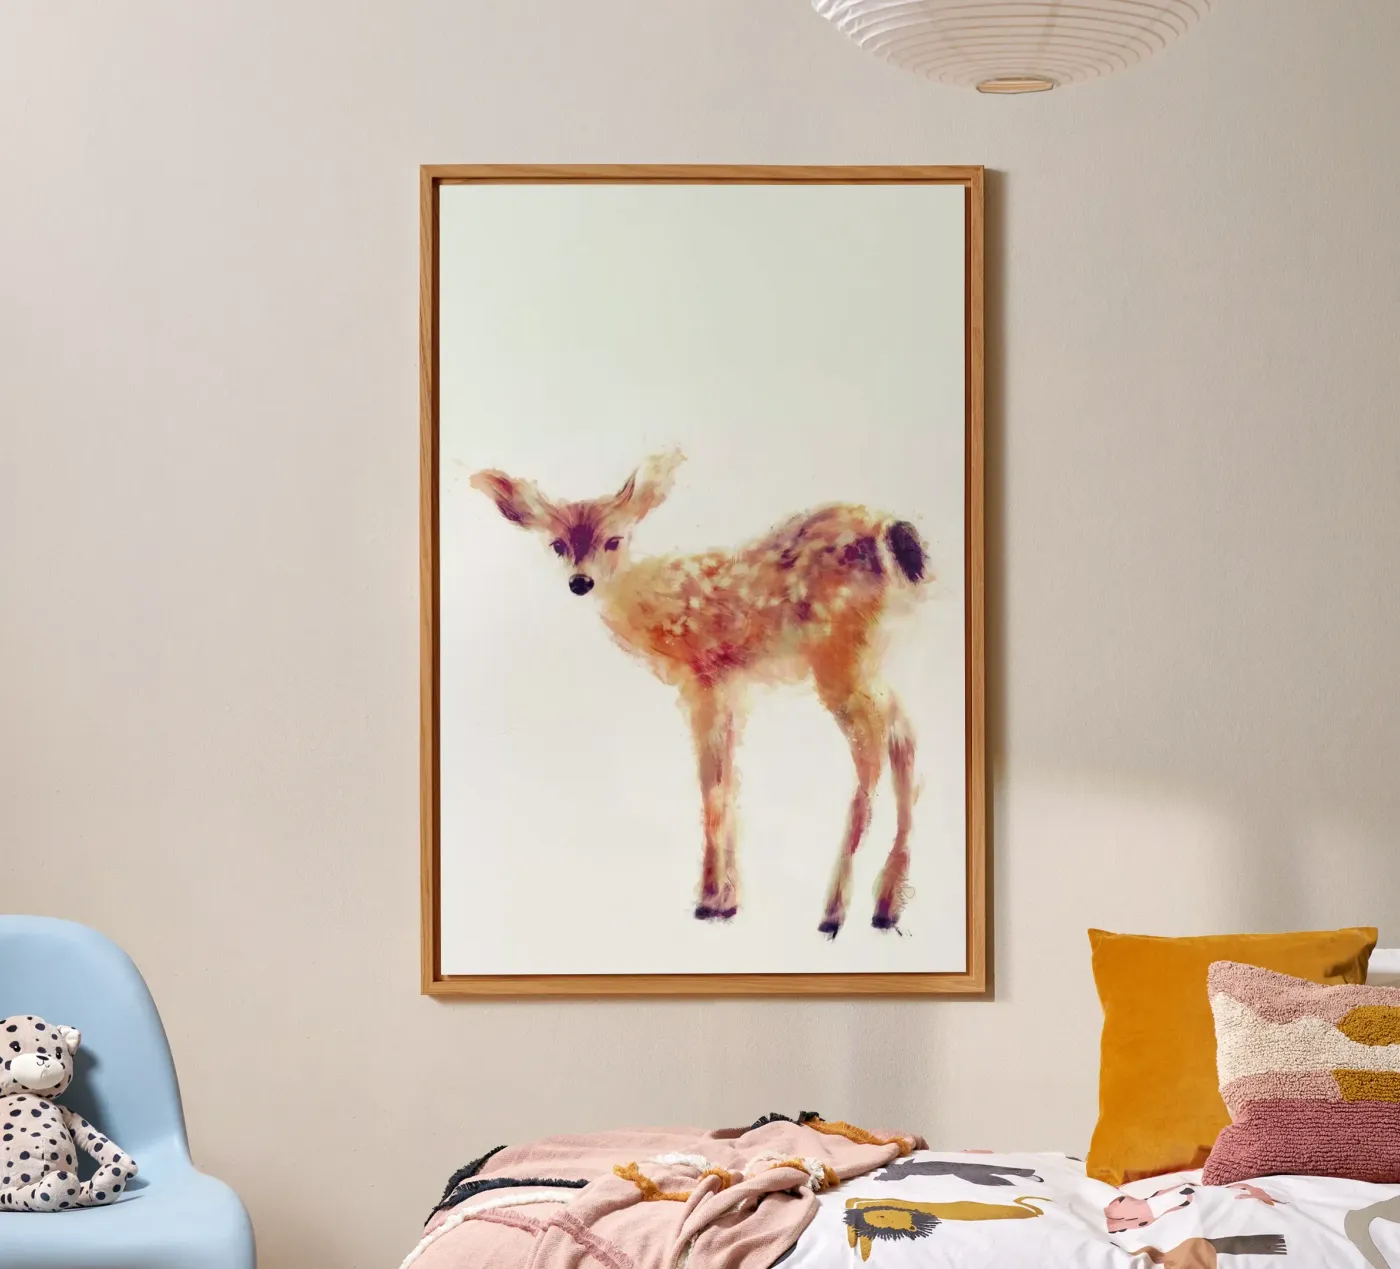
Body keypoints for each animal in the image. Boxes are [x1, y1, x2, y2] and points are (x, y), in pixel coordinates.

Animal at [469, 450, 929, 938]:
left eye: (613, 540)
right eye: (557, 544)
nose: (580, 582)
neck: (659, 609)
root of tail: (895, 533)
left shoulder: (703, 681)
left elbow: (711, 784)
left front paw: (709, 900)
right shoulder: (731, 690)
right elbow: (728, 780)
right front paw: (729, 900)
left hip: (839, 655)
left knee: (871, 751)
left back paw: (833, 911)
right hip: (869, 659)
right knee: (903, 735)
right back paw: (886, 906)